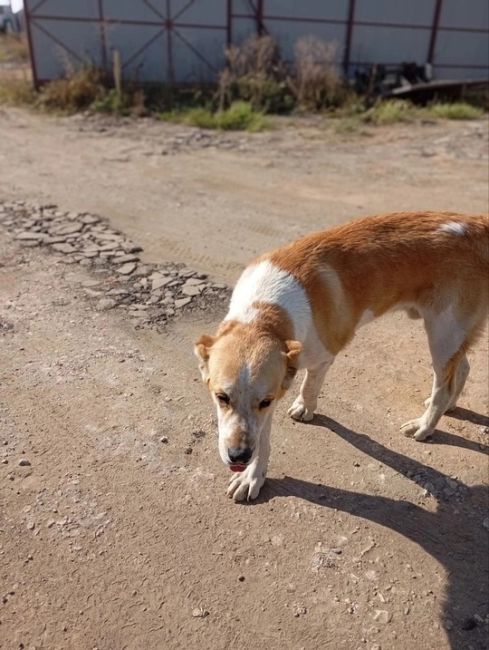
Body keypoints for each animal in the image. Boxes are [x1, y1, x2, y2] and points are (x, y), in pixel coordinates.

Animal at [194, 213, 488, 502]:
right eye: (221, 397)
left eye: (265, 401)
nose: (239, 457)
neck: (264, 314)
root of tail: (478, 223)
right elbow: (265, 436)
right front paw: (252, 475)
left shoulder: (309, 367)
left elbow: (306, 390)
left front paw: (254, 474)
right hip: (450, 337)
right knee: (461, 368)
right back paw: (449, 406)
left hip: (443, 333)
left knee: (444, 384)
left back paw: (425, 425)